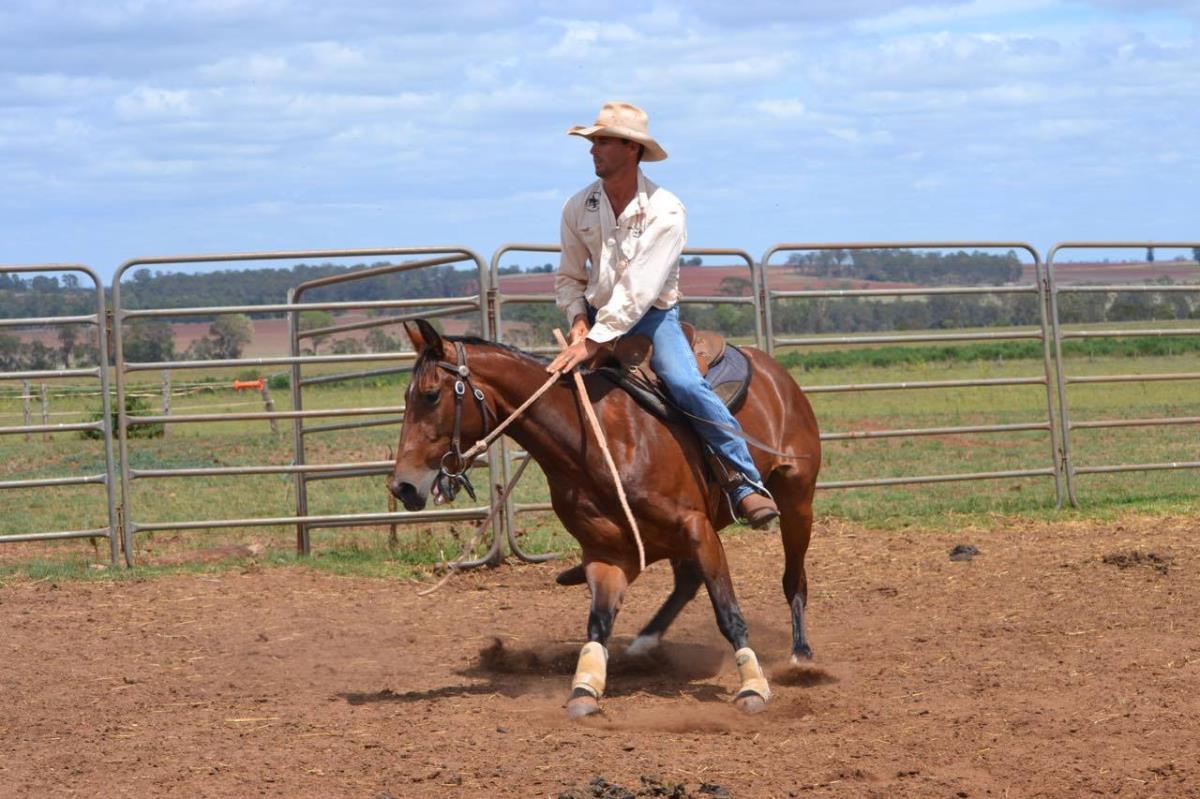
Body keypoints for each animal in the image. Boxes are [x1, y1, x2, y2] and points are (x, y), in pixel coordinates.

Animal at [389, 319, 820, 717]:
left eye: (430, 395)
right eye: (407, 396)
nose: (402, 487)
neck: (599, 441)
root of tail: (776, 374)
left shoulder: (697, 528)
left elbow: (728, 611)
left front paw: (753, 687)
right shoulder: (606, 553)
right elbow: (598, 623)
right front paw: (585, 687)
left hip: (796, 501)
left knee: (792, 578)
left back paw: (800, 655)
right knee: (686, 581)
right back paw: (643, 645)